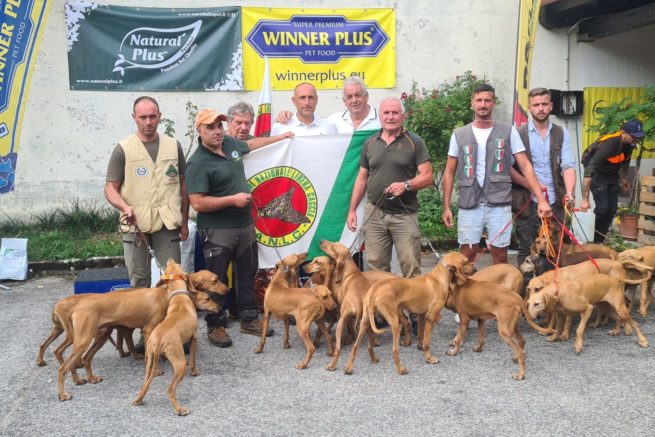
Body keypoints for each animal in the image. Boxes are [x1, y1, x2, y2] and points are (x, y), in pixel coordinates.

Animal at [56, 264, 228, 401]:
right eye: (215, 279)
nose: (227, 289)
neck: (168, 293)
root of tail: (78, 306)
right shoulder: (149, 329)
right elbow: (148, 357)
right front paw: (155, 370)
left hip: (101, 336)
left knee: (86, 358)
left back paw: (89, 378)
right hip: (84, 339)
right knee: (63, 367)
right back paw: (64, 393)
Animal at [132, 260, 221, 416]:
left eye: (170, 266)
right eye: (208, 298)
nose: (220, 308)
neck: (179, 297)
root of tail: (157, 341)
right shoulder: (194, 338)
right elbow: (193, 359)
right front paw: (195, 372)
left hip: (149, 362)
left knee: (145, 384)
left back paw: (138, 400)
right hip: (180, 364)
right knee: (170, 390)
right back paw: (180, 409)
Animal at [342, 252, 473, 375]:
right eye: (466, 261)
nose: (475, 269)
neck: (438, 278)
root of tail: (375, 289)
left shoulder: (421, 316)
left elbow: (421, 335)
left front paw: (420, 347)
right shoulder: (430, 318)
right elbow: (427, 342)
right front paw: (429, 358)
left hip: (365, 322)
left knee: (356, 346)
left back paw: (350, 368)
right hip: (394, 323)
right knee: (394, 351)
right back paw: (400, 370)